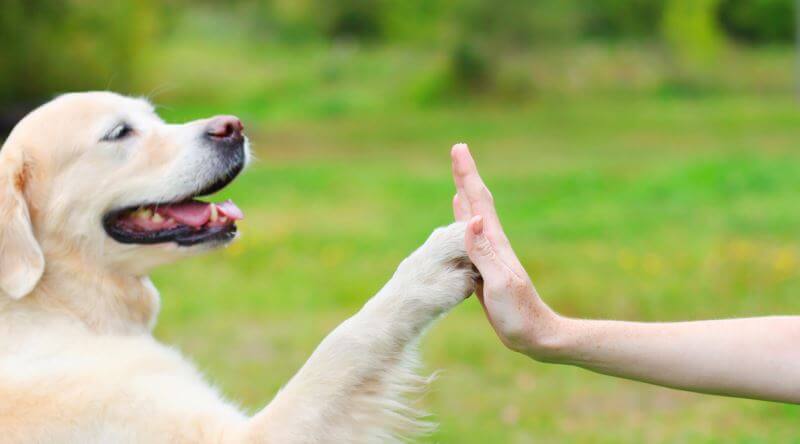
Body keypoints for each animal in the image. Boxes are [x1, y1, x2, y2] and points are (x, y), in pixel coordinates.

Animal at [0, 92, 476, 442]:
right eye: (119, 132)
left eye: (153, 116)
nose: (232, 127)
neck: (59, 306)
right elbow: (344, 344)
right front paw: (428, 270)